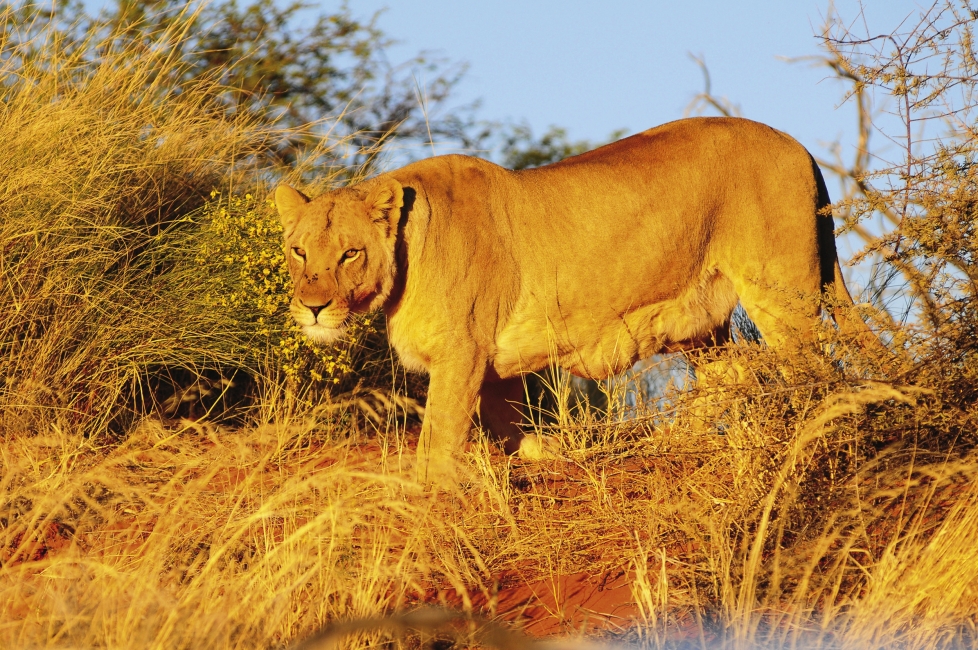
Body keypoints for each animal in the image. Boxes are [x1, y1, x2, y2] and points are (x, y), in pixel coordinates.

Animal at [274, 117, 871, 483]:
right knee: (735, 374)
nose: (313, 306)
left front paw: (426, 493)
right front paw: (547, 453)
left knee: (816, 374)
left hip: (784, 295)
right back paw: (669, 443)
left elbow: (439, 438)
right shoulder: (491, 364)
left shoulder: (463, 350)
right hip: (700, 322)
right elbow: (507, 423)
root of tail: (799, 146)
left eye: (350, 254)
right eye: (299, 251)